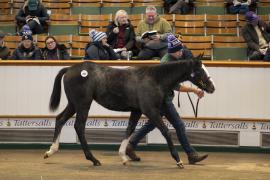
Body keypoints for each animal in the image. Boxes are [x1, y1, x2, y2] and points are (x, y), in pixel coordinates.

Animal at [43, 56, 215, 169]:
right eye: (200, 70)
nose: (212, 88)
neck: (155, 80)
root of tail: (70, 69)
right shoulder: (150, 110)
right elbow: (165, 131)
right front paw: (178, 160)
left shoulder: (138, 110)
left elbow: (129, 130)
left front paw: (124, 157)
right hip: (83, 104)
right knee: (79, 126)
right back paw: (93, 159)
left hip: (73, 104)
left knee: (60, 119)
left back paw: (51, 151)